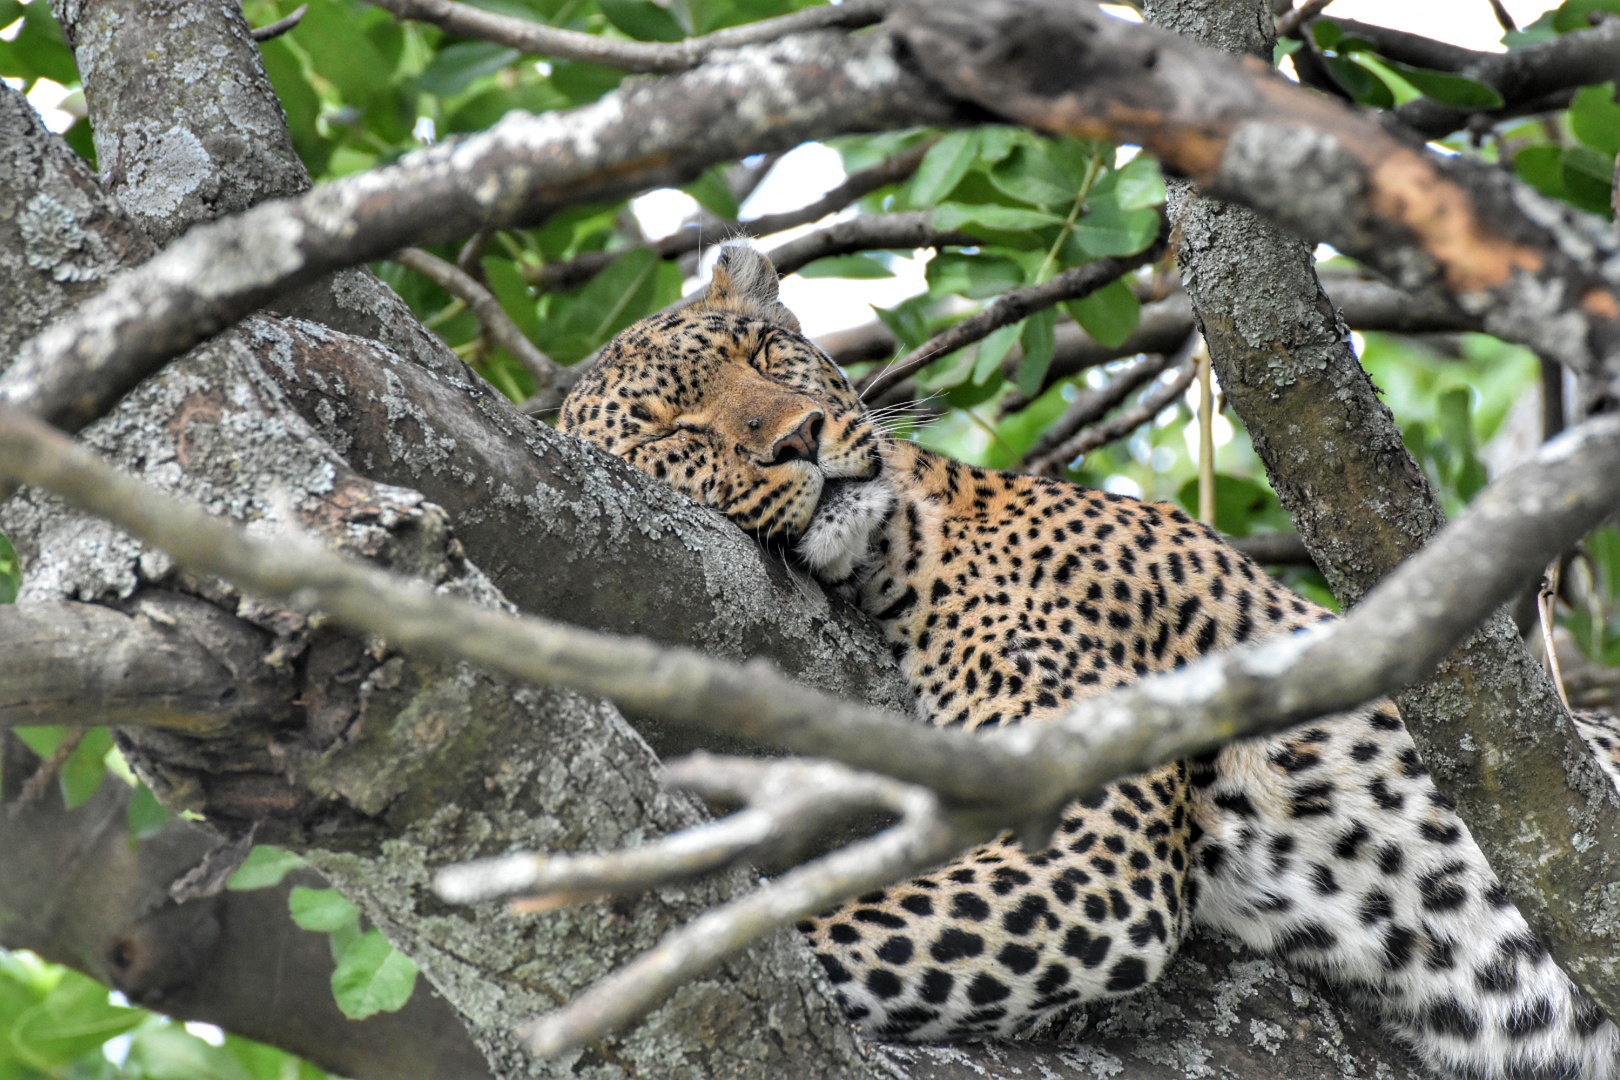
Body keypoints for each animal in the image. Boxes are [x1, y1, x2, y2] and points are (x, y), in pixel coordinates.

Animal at [559, 243, 1620, 1079]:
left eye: (765, 353)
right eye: (674, 435)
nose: (798, 439)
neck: (909, 546)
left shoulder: (1089, 845)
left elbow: (804, 935)